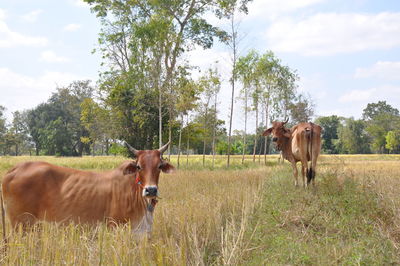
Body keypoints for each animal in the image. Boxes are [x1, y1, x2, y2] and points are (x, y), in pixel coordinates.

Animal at [1, 141, 173, 233]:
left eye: (159, 166)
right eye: (138, 166)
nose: (151, 190)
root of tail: (16, 168)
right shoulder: (114, 226)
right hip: (20, 224)